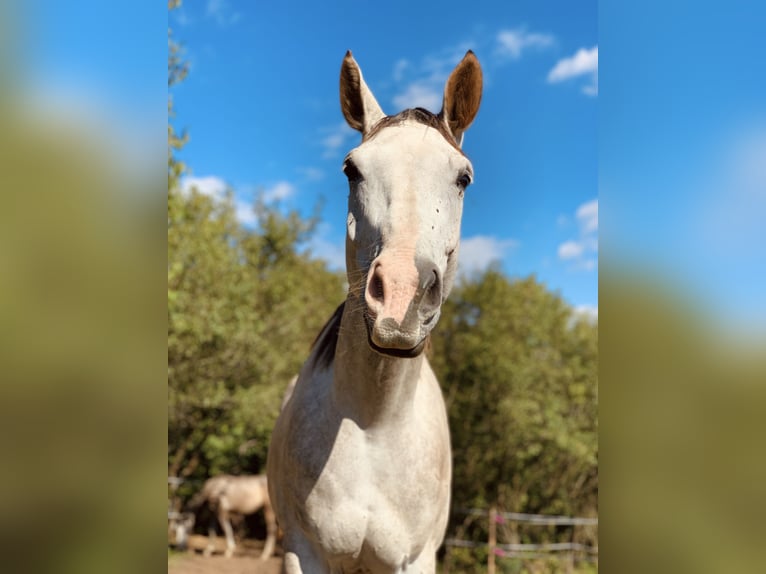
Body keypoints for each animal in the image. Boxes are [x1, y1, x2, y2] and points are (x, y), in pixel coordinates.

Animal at [267, 50, 482, 573]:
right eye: (351, 169)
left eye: (463, 178)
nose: (401, 298)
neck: (374, 426)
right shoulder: (301, 552)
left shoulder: (416, 558)